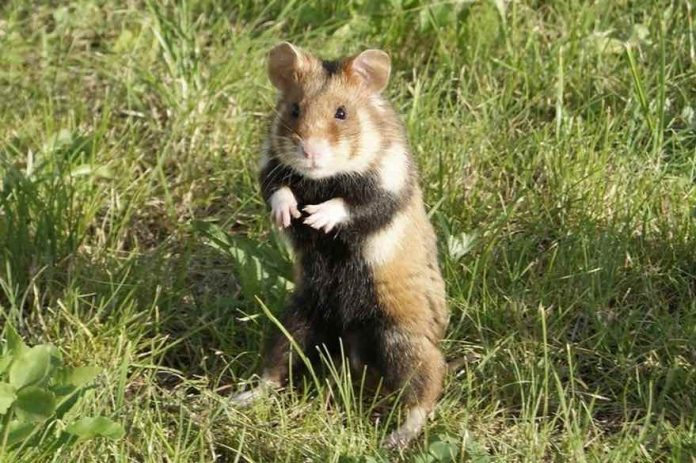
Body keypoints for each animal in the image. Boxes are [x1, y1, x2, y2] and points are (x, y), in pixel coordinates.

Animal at [233, 42, 448, 449]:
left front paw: (316, 218)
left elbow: (353, 205)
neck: (323, 178)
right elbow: (277, 189)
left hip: (401, 337)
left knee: (426, 388)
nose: (310, 153)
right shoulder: (269, 167)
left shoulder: (389, 184)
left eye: (342, 113)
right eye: (294, 109)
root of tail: (353, 353)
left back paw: (394, 439)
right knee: (276, 365)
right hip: (298, 318)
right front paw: (290, 216)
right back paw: (240, 397)